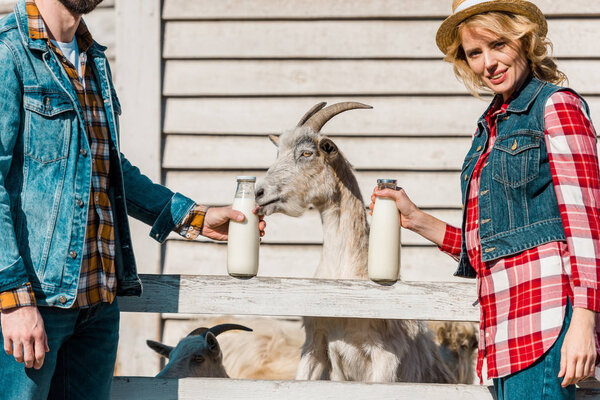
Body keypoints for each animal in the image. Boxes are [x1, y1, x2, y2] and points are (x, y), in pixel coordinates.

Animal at [255, 101, 476, 382]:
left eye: (306, 153)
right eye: (278, 154)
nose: (259, 192)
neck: (345, 271)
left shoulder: (386, 356)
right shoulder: (315, 344)